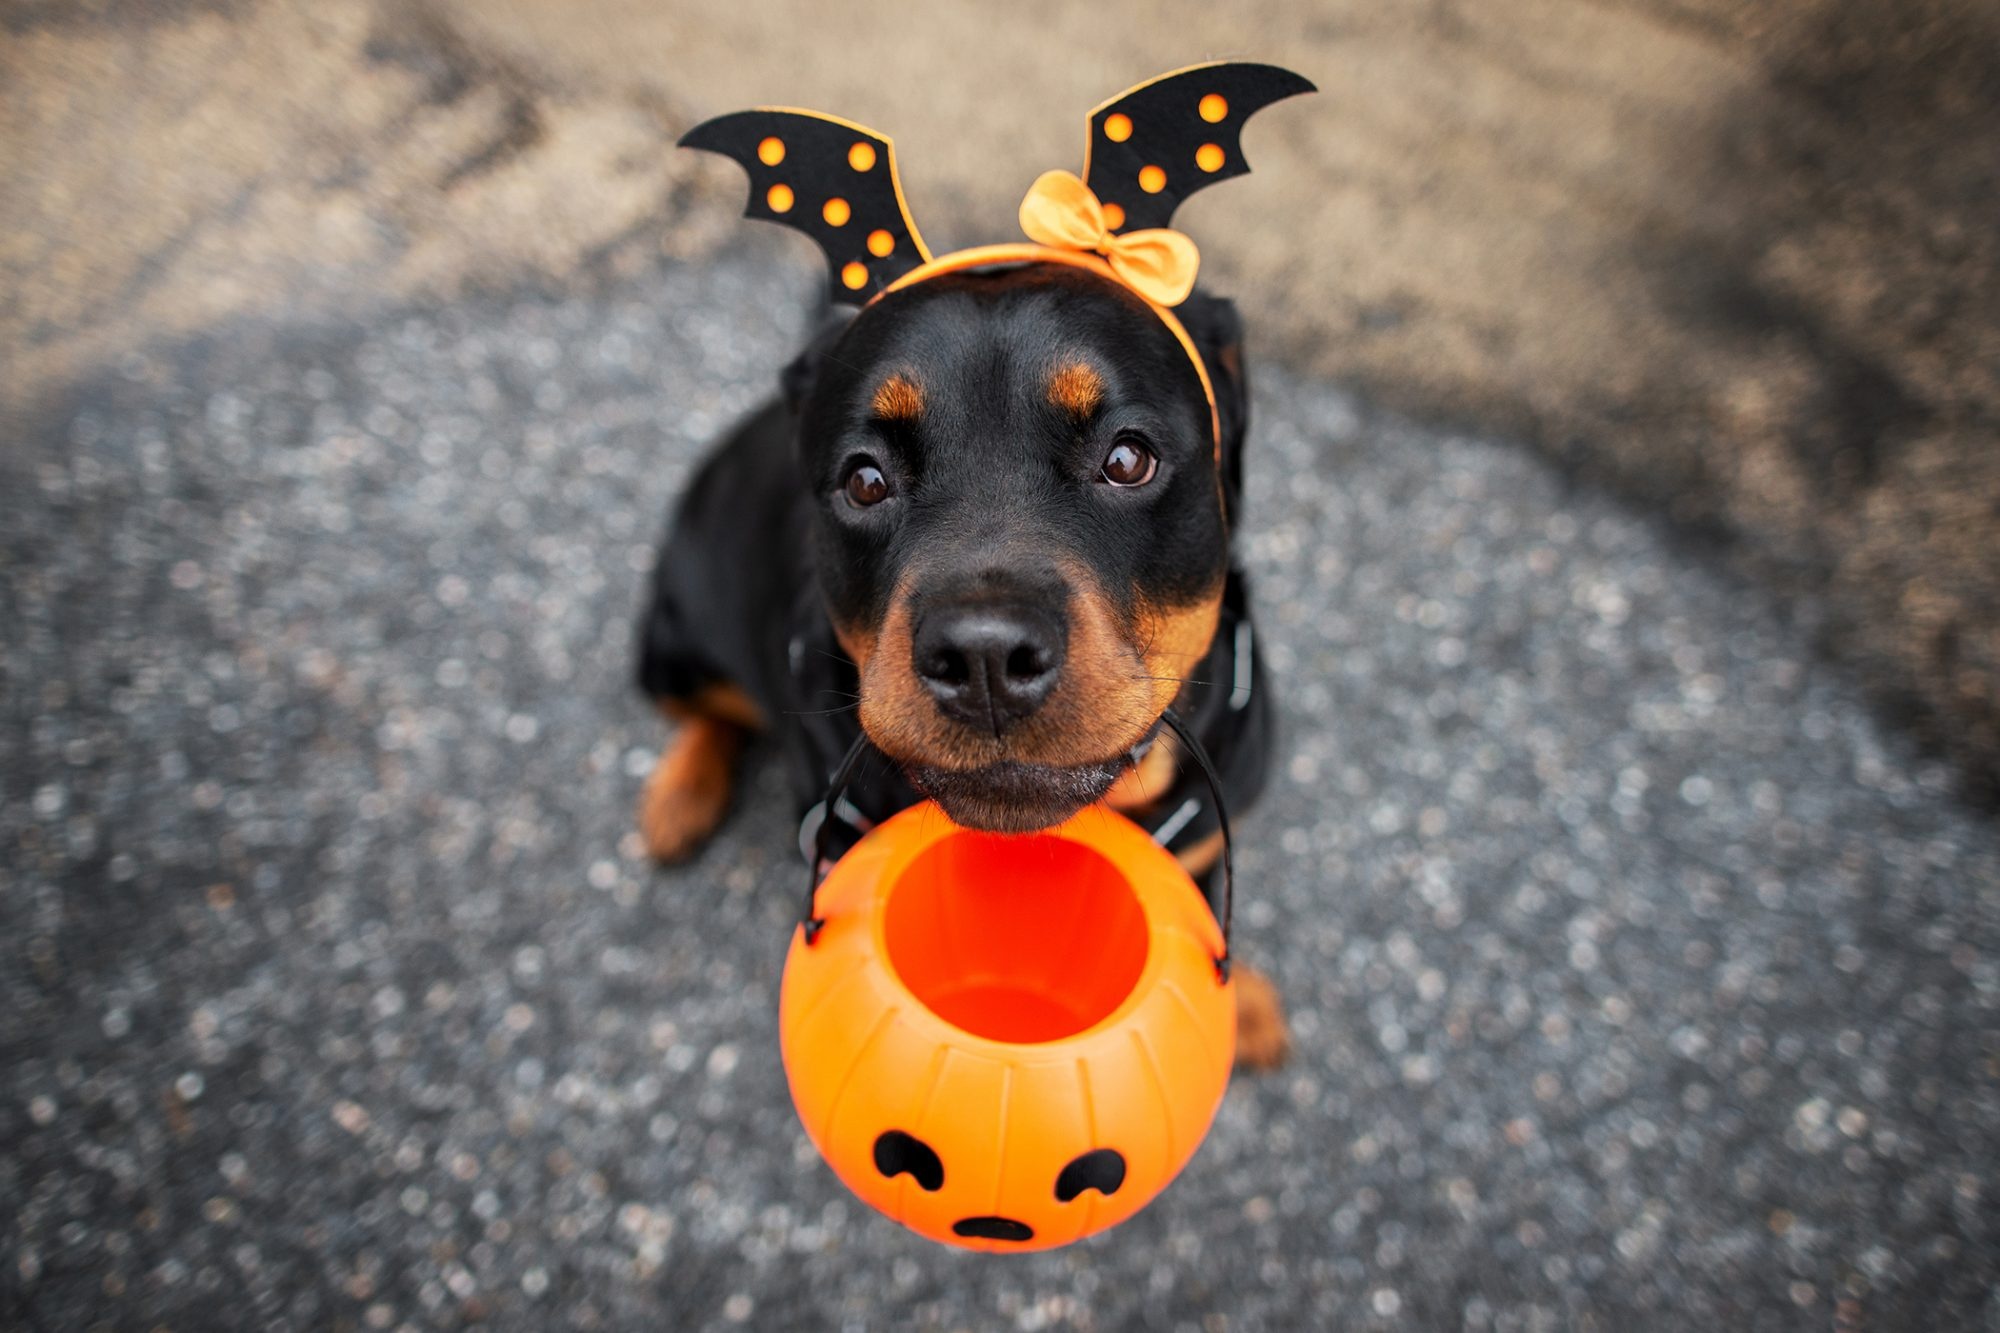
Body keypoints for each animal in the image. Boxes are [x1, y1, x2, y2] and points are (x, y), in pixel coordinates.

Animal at [644, 260, 1296, 1072]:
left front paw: (1250, 1003)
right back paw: (680, 794)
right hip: (672, 642)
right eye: (864, 480)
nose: (985, 655)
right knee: (704, 710)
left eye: (1127, 458)